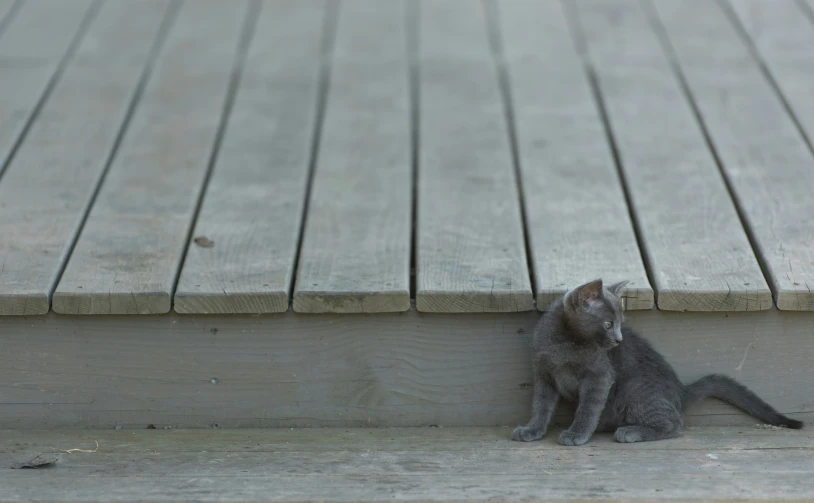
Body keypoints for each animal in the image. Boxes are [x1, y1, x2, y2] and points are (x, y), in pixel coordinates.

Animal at [516, 280, 804, 444]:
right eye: (609, 324)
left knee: (674, 424)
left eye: (619, 323)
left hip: (635, 390)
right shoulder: (543, 374)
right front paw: (532, 429)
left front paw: (577, 434)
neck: (564, 344)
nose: (619, 340)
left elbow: (588, 408)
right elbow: (540, 405)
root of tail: (681, 391)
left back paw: (630, 432)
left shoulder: (600, 376)